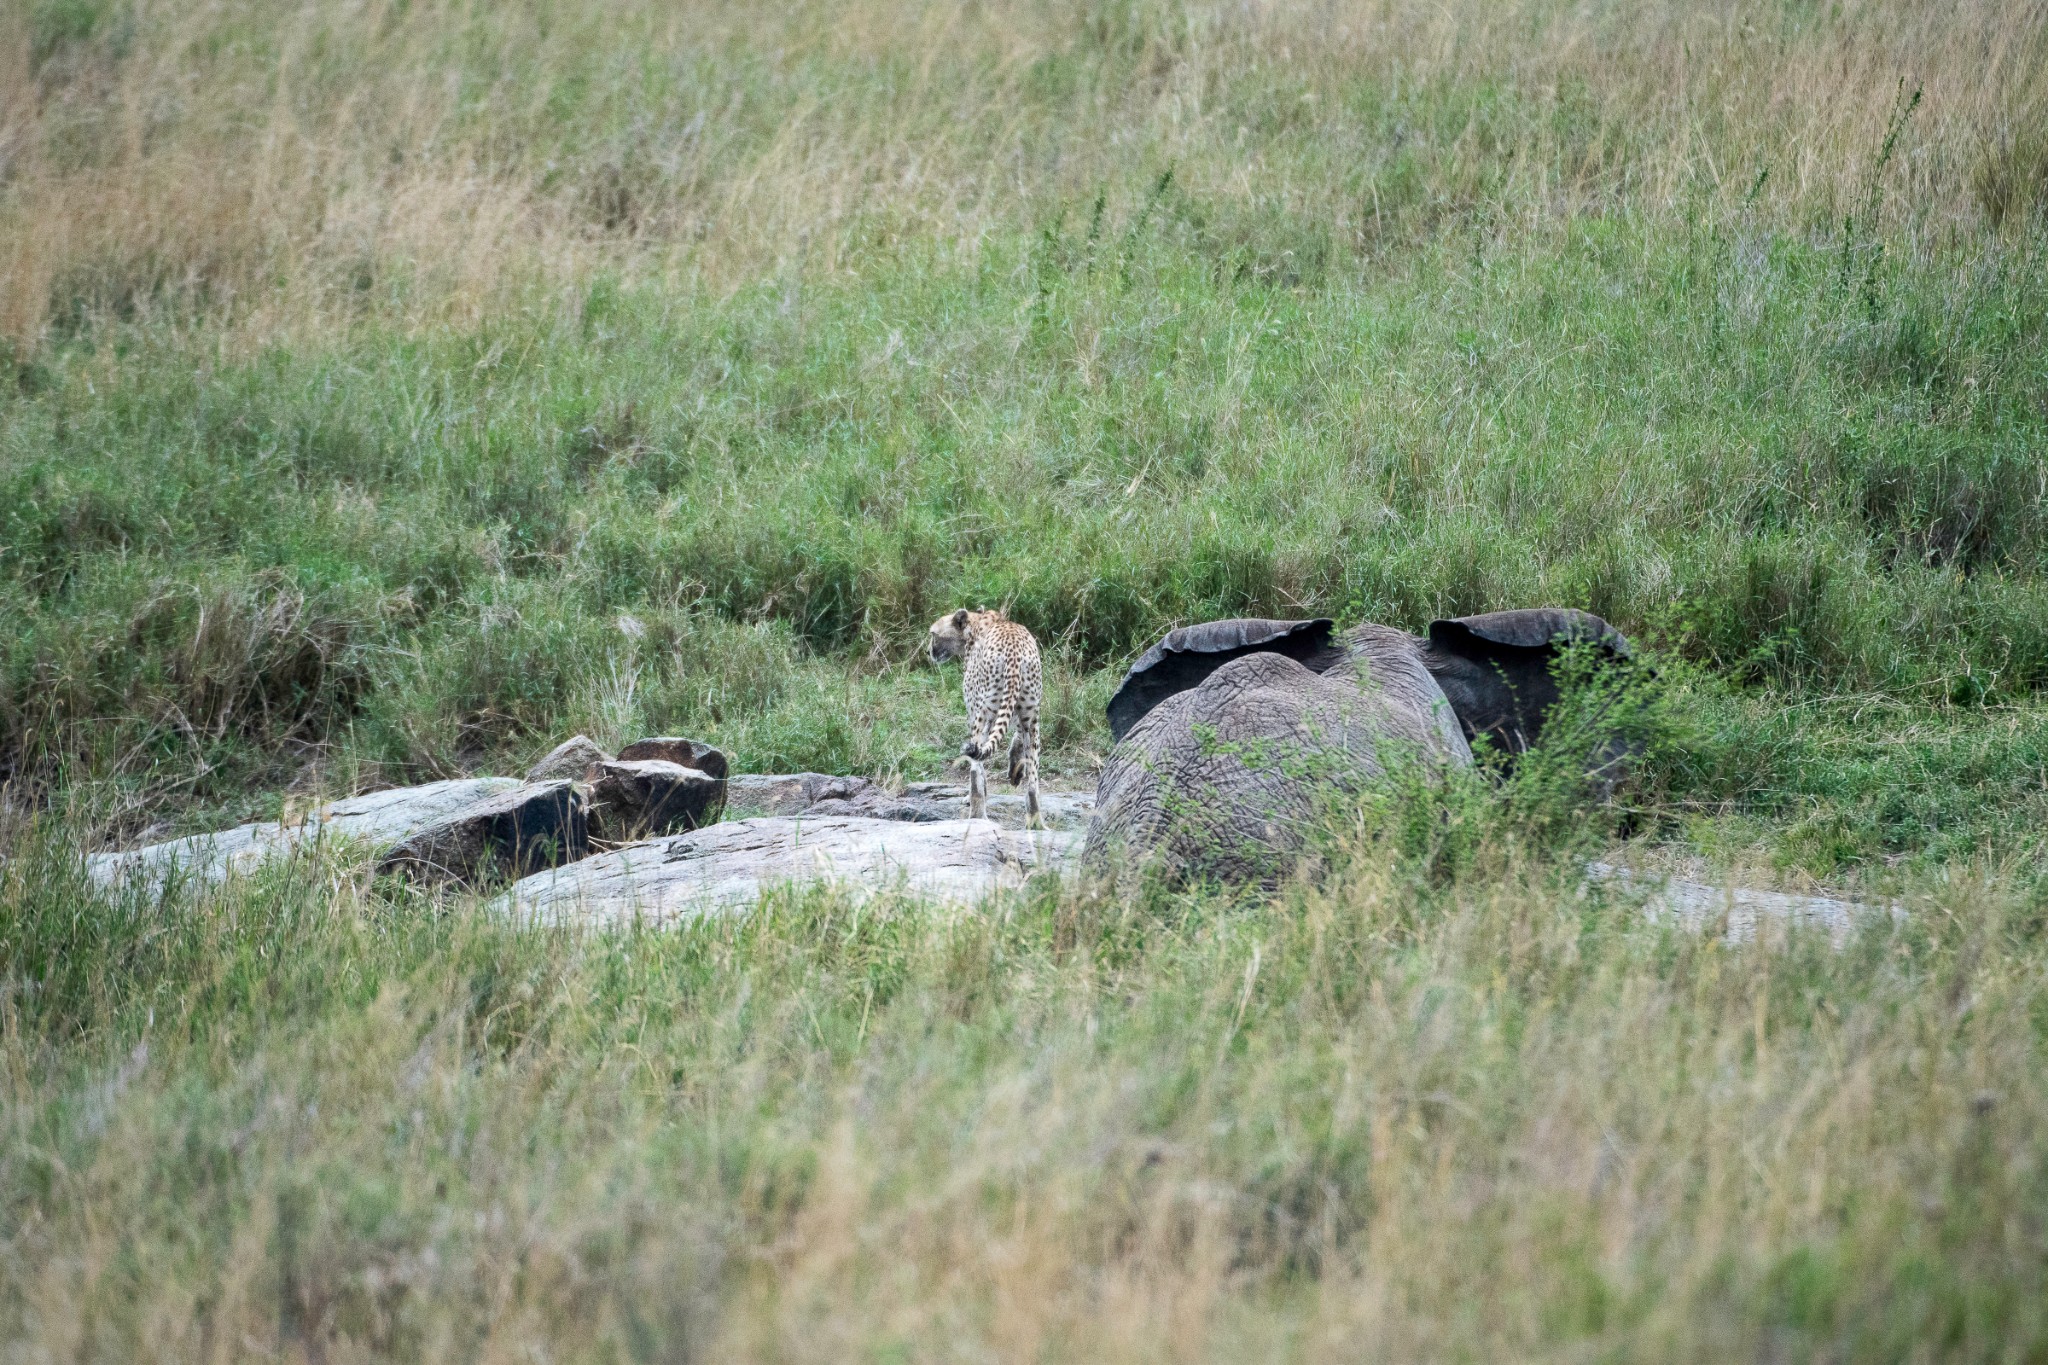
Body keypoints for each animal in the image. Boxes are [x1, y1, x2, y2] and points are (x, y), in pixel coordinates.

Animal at [937, 605, 1048, 822]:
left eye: (933, 635)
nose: (930, 652)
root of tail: (1014, 652)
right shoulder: (1024, 713)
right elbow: (1018, 736)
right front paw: (1016, 767)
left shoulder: (974, 713)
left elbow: (979, 764)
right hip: (1029, 713)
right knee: (1033, 781)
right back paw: (1035, 820)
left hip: (985, 713)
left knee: (975, 763)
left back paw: (977, 813)